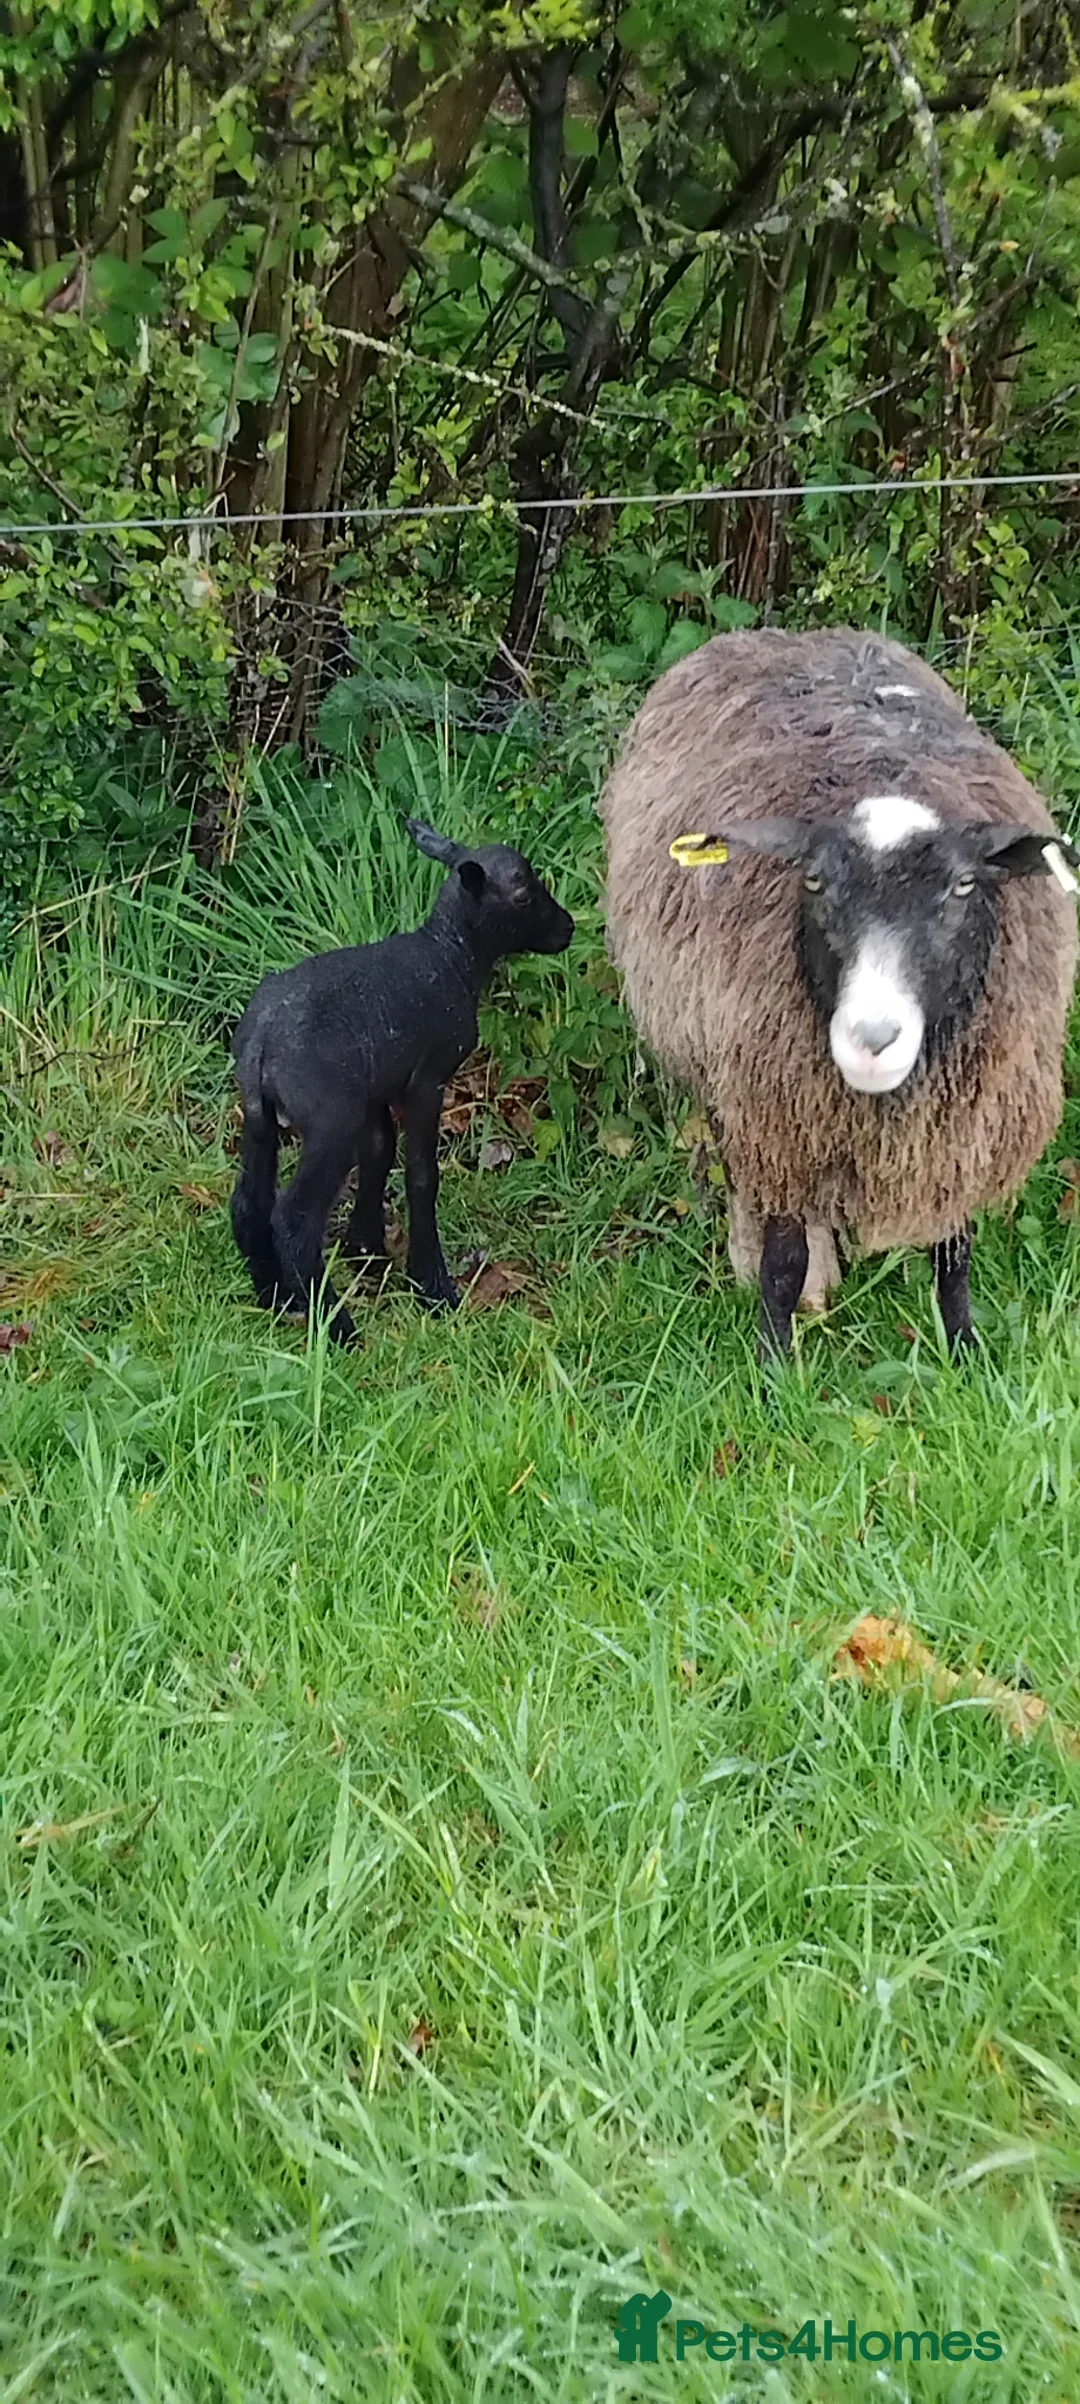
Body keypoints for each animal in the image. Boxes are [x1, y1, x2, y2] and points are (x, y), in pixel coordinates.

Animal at [229, 818, 574, 1343]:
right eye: (521, 895)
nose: (568, 927)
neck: (450, 955)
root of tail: (262, 1042)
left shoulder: (377, 1090)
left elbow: (379, 1152)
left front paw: (367, 1253)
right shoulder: (427, 1079)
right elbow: (421, 1175)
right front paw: (431, 1284)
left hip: (260, 1117)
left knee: (249, 1203)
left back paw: (276, 1298)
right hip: (330, 1121)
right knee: (292, 1218)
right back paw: (337, 1327)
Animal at [599, 627, 1080, 1359]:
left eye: (964, 885)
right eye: (815, 882)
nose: (873, 1038)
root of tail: (783, 634)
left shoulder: (963, 1122)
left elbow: (955, 1252)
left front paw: (964, 1351)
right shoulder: (780, 1108)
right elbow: (783, 1257)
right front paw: (773, 1361)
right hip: (718, 1058)